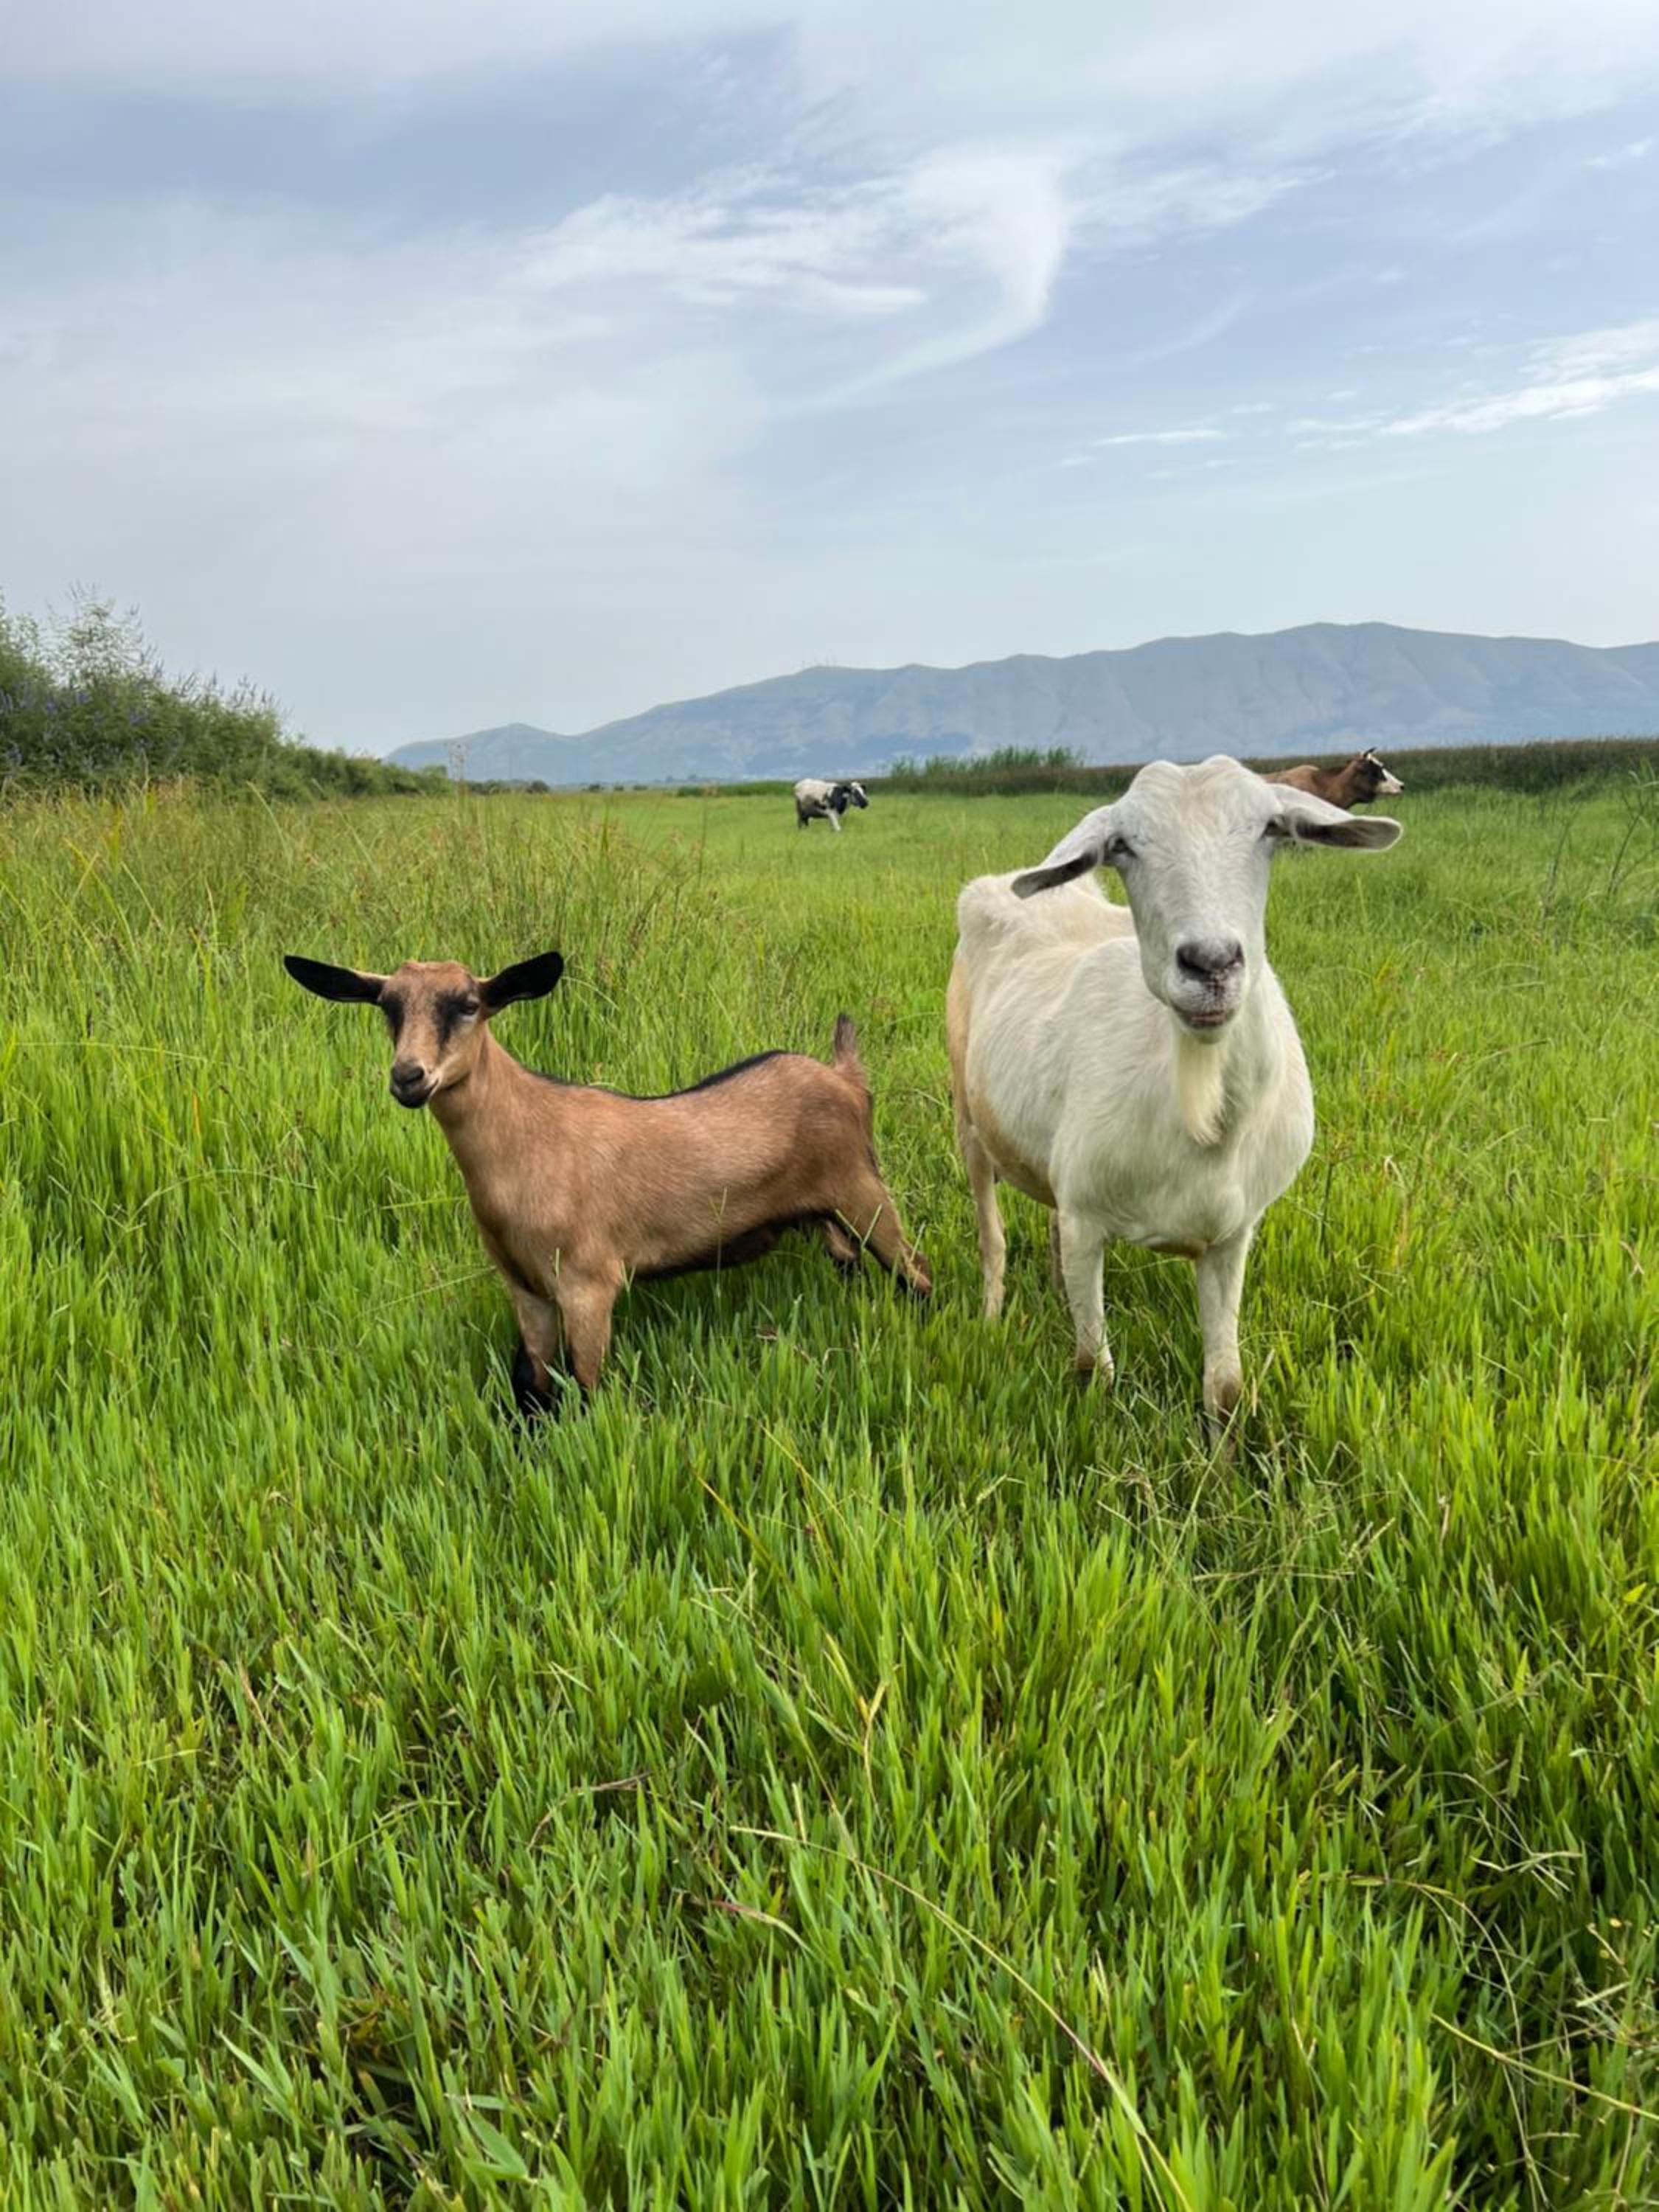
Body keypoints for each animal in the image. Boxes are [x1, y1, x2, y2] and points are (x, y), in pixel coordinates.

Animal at [284, 949, 930, 1414]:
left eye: (467, 1004)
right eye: (387, 1005)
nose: (408, 1077)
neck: (528, 1144)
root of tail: (846, 1078)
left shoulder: (589, 1283)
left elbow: (585, 1387)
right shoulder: (525, 1286)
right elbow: (533, 1383)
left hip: (862, 1187)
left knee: (914, 1270)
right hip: (823, 1212)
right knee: (847, 1259)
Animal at [946, 756, 1401, 1429]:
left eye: (1271, 828)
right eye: (1123, 846)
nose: (1210, 964)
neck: (1196, 1098)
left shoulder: (1232, 1236)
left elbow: (1227, 1388)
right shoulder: (1089, 1219)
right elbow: (1093, 1368)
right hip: (968, 1116)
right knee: (992, 1237)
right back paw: (992, 1316)